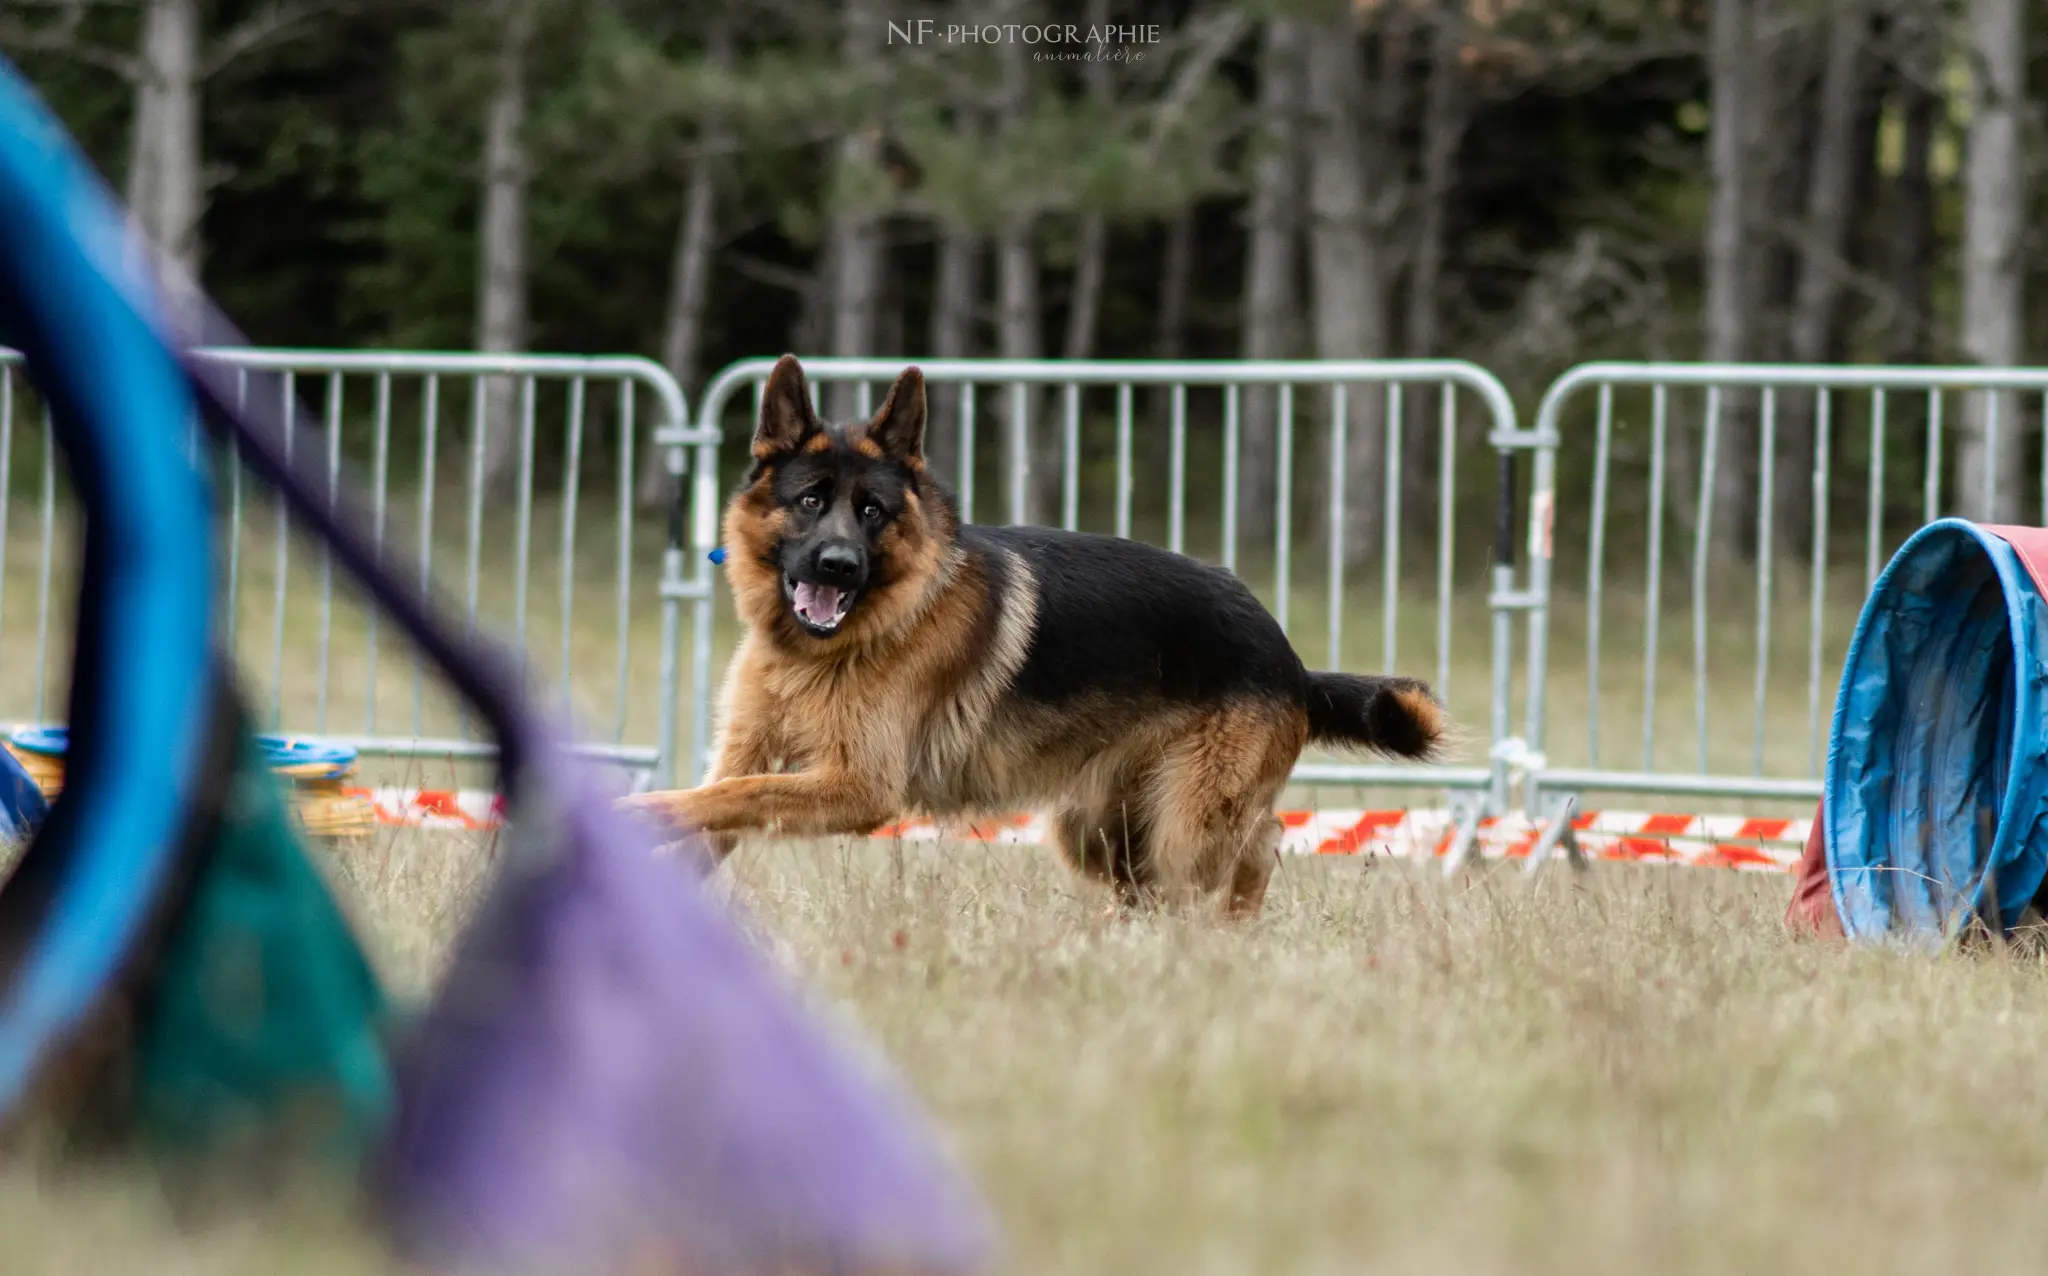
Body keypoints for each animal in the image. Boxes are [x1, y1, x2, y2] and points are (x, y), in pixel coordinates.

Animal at [630, 356, 1449, 917]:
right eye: (809, 500)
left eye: (871, 512)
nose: (838, 565)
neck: (833, 648)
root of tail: (1291, 658)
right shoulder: (759, 758)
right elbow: (720, 798)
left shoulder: (857, 788)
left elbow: (724, 795)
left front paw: (632, 812)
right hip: (1099, 831)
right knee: (1154, 890)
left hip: (1188, 831)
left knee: (1263, 843)